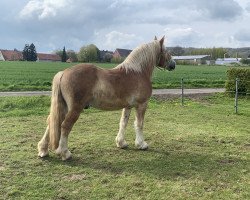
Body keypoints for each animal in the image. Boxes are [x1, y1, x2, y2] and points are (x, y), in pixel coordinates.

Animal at [38, 36, 176, 161]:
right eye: (166, 50)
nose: (173, 65)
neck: (138, 72)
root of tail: (63, 73)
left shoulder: (128, 106)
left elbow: (123, 123)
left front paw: (121, 143)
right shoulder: (142, 104)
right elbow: (139, 124)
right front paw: (141, 144)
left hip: (64, 107)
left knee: (51, 122)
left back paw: (43, 150)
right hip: (75, 109)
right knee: (65, 126)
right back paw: (65, 153)